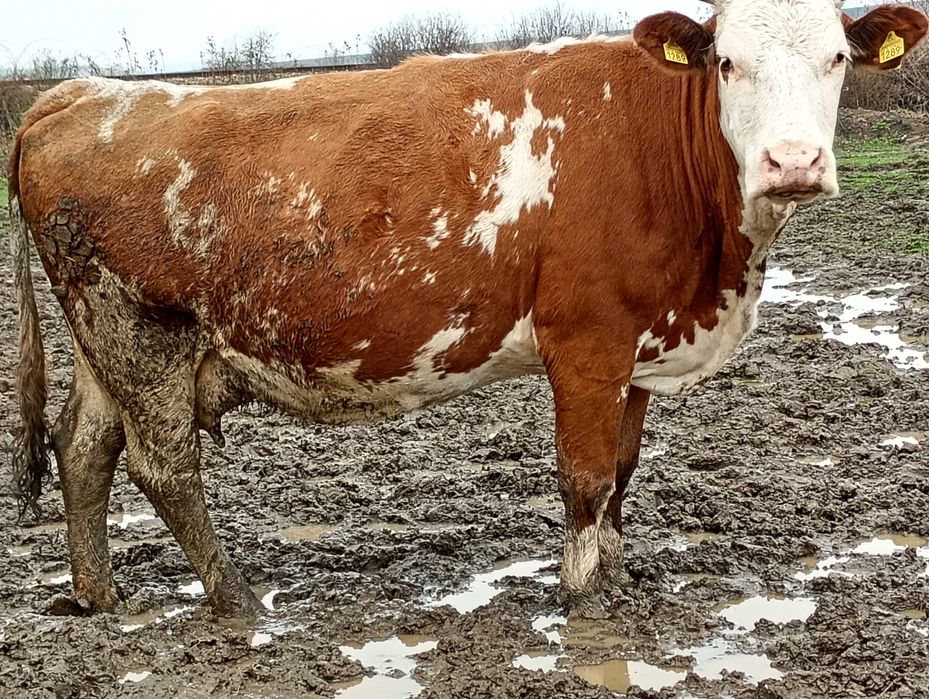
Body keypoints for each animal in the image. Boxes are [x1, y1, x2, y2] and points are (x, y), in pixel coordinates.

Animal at [8, 0, 927, 619]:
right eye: (727, 62)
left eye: (837, 58)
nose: (793, 161)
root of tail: (82, 94)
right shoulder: (585, 341)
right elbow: (585, 477)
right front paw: (584, 595)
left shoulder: (636, 345)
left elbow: (623, 470)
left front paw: (618, 569)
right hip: (142, 335)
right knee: (161, 466)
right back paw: (235, 595)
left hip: (105, 344)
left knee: (83, 448)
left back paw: (98, 593)